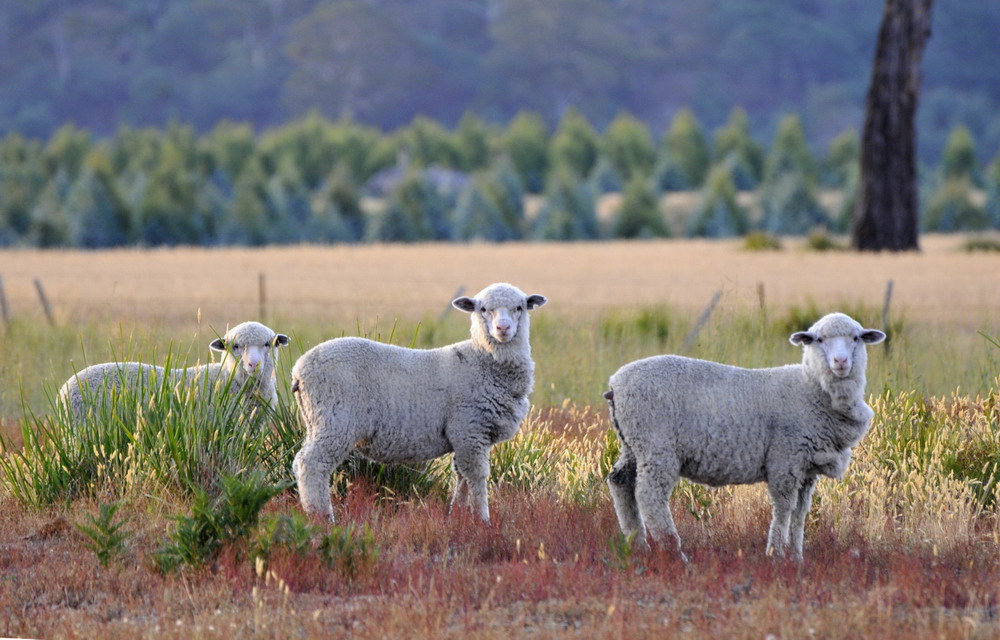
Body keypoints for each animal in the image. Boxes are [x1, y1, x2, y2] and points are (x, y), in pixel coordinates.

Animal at [292, 282, 548, 524]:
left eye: (520, 308)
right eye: (483, 309)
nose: (503, 329)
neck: (483, 359)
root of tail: (299, 370)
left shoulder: (467, 436)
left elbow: (462, 477)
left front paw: (457, 516)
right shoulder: (470, 429)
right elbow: (476, 476)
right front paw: (483, 520)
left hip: (316, 421)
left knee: (302, 463)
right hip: (335, 419)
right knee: (312, 465)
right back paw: (322, 517)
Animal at [600, 312, 884, 564]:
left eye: (856, 338)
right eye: (819, 339)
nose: (840, 362)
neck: (811, 389)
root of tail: (616, 384)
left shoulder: (807, 469)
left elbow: (800, 513)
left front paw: (797, 557)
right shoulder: (785, 459)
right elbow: (784, 508)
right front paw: (776, 554)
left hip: (633, 443)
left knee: (620, 482)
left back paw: (637, 544)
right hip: (656, 443)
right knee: (649, 495)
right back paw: (673, 552)